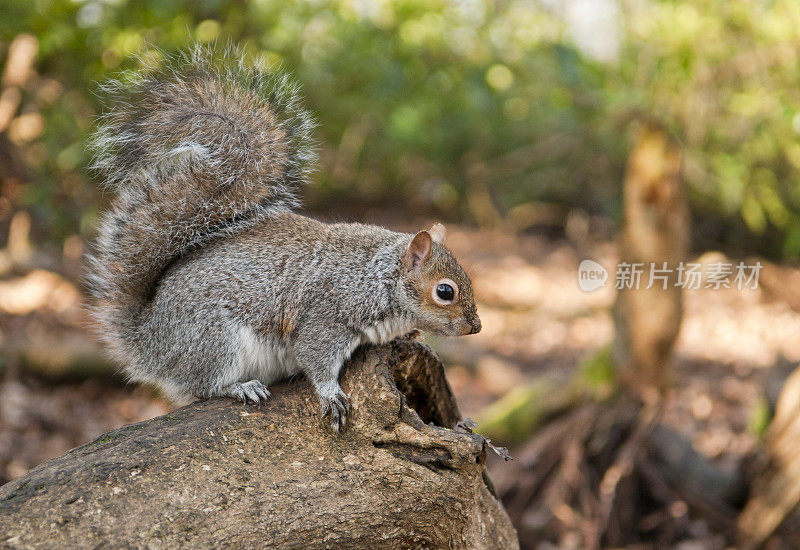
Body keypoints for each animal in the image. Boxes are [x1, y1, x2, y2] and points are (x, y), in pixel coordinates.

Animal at [86, 45, 482, 434]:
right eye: (444, 292)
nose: (475, 327)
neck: (376, 278)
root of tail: (149, 341)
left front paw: (409, 336)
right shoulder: (325, 317)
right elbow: (316, 358)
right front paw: (330, 394)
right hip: (214, 338)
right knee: (203, 385)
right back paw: (240, 387)